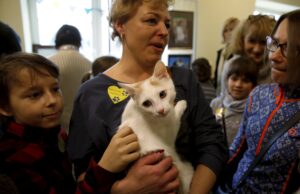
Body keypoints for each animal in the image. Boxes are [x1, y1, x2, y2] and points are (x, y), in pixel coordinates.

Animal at [118, 60, 193, 194]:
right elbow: (175, 116)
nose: (161, 110)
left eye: (162, 94)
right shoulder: (169, 135)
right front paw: (181, 104)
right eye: (146, 103)